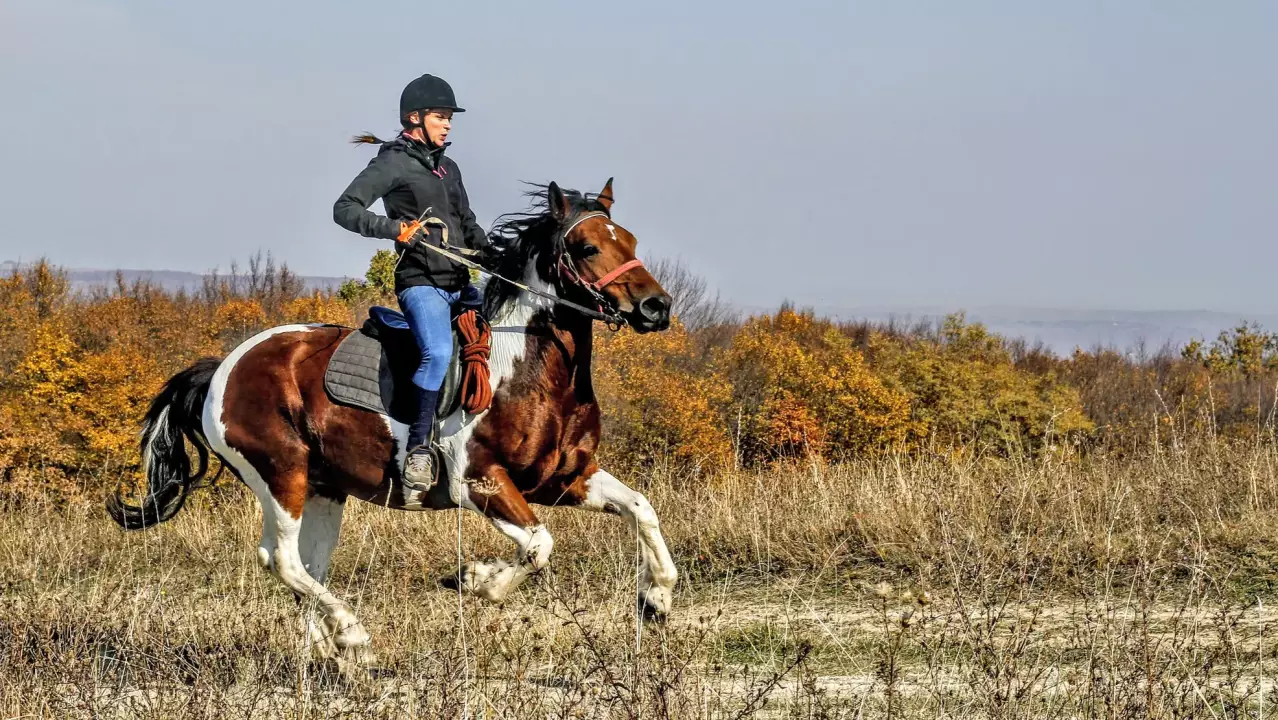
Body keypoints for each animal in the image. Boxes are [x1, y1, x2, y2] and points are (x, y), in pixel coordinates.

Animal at [107, 180, 679, 665]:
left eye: (629, 239)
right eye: (586, 247)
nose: (656, 307)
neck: (528, 367)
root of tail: (224, 367)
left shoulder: (564, 478)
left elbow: (641, 509)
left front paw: (656, 598)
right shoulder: (481, 482)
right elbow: (539, 546)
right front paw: (475, 580)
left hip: (324, 488)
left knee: (306, 566)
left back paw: (327, 650)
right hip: (280, 474)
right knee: (282, 559)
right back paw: (352, 635)